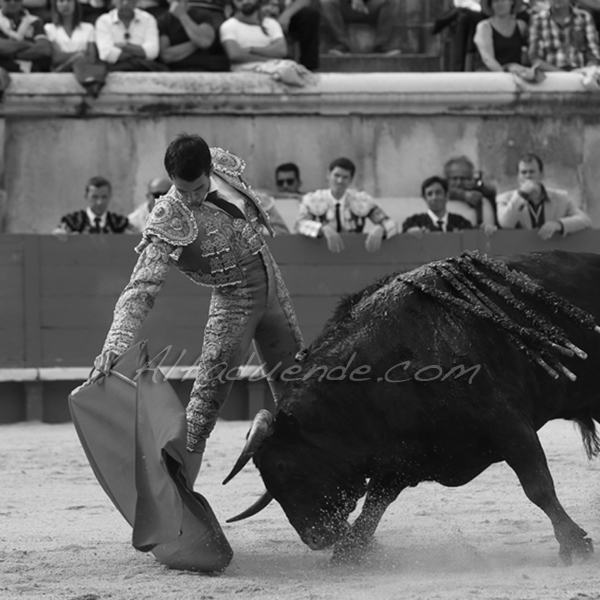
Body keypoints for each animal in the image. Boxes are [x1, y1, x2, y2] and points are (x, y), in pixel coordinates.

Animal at [223, 248, 600, 564]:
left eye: (282, 467)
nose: (315, 538)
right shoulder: (400, 455)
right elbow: (376, 503)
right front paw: (349, 553)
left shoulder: (508, 424)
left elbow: (538, 487)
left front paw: (575, 545)